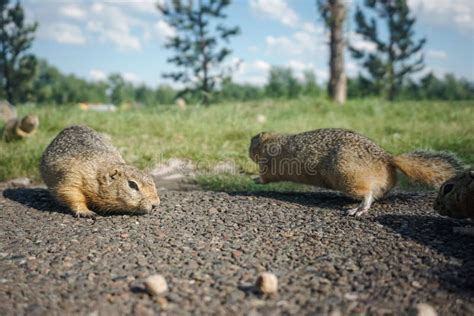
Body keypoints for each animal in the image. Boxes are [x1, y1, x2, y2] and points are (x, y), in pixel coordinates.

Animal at [250, 128, 464, 215]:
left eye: (253, 141)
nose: (249, 151)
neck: (271, 142)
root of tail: (389, 159)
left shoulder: (270, 166)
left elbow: (265, 177)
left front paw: (254, 178)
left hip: (349, 177)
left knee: (367, 194)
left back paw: (359, 209)